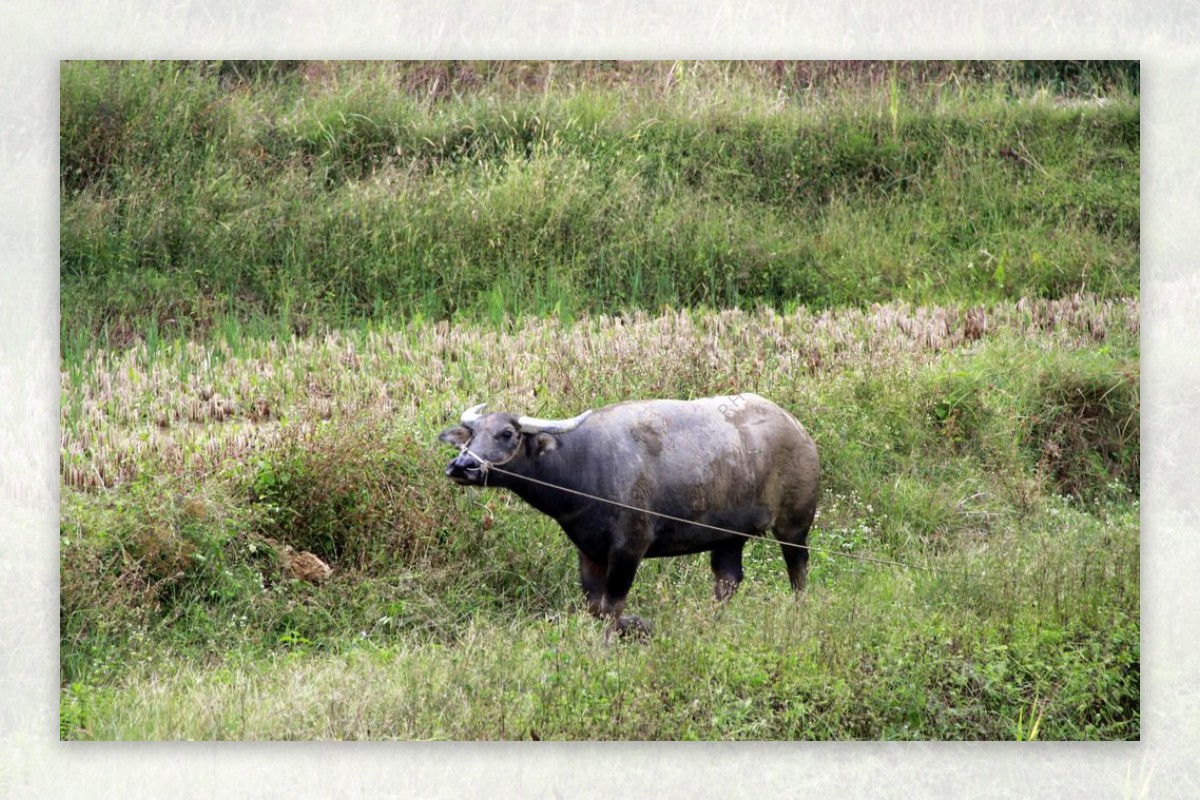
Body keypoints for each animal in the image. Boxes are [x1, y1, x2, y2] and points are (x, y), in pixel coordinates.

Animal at [439, 393, 816, 637]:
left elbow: (612, 606)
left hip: (795, 523)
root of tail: (798, 429)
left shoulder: (629, 549)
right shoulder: (589, 551)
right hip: (728, 537)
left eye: (506, 433)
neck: (583, 466)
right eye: (473, 433)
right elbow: (596, 607)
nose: (460, 466)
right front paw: (635, 626)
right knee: (727, 581)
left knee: (797, 572)